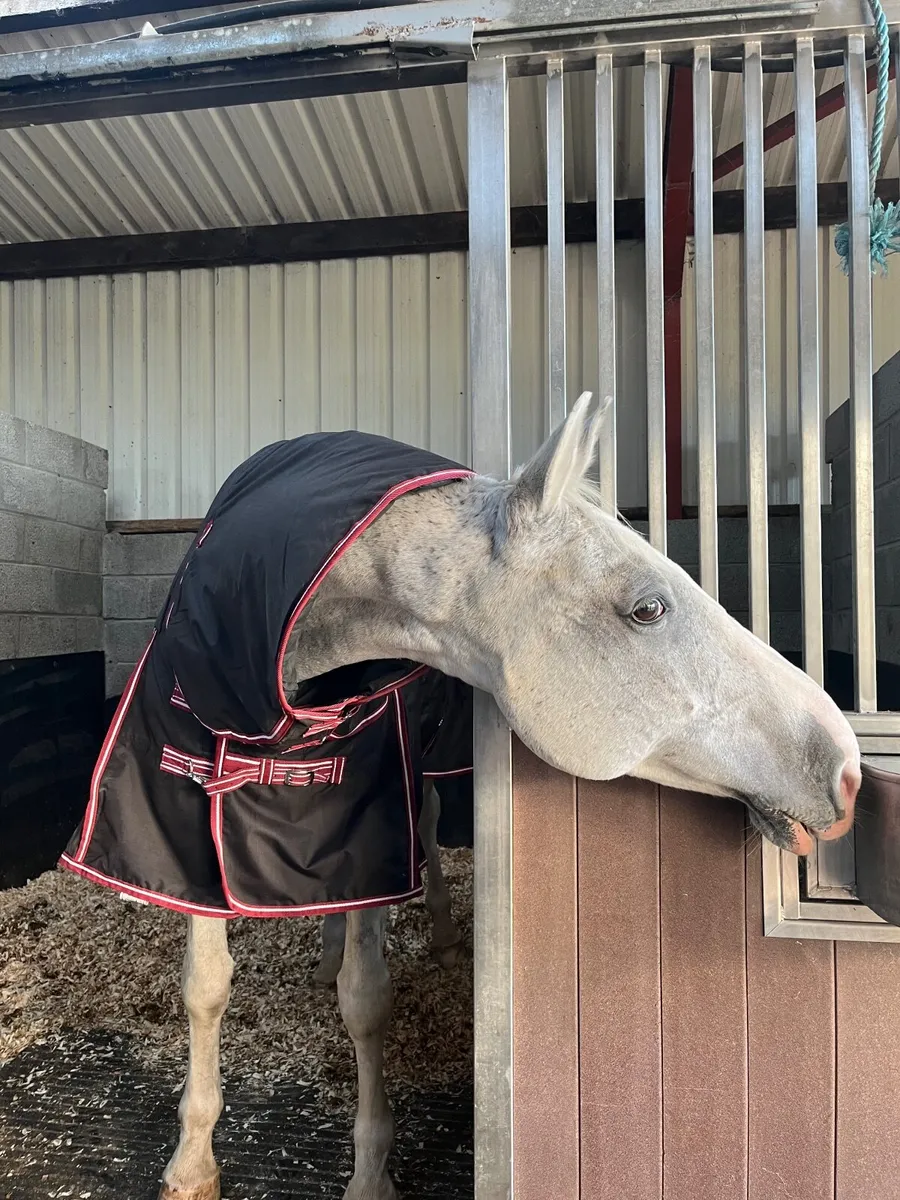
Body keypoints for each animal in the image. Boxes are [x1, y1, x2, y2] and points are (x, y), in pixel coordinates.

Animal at [62, 392, 859, 1200]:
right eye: (648, 609)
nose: (847, 763)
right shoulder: (186, 827)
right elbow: (205, 986)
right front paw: (191, 1163)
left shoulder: (369, 833)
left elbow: (366, 998)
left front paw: (370, 1172)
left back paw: (441, 936)